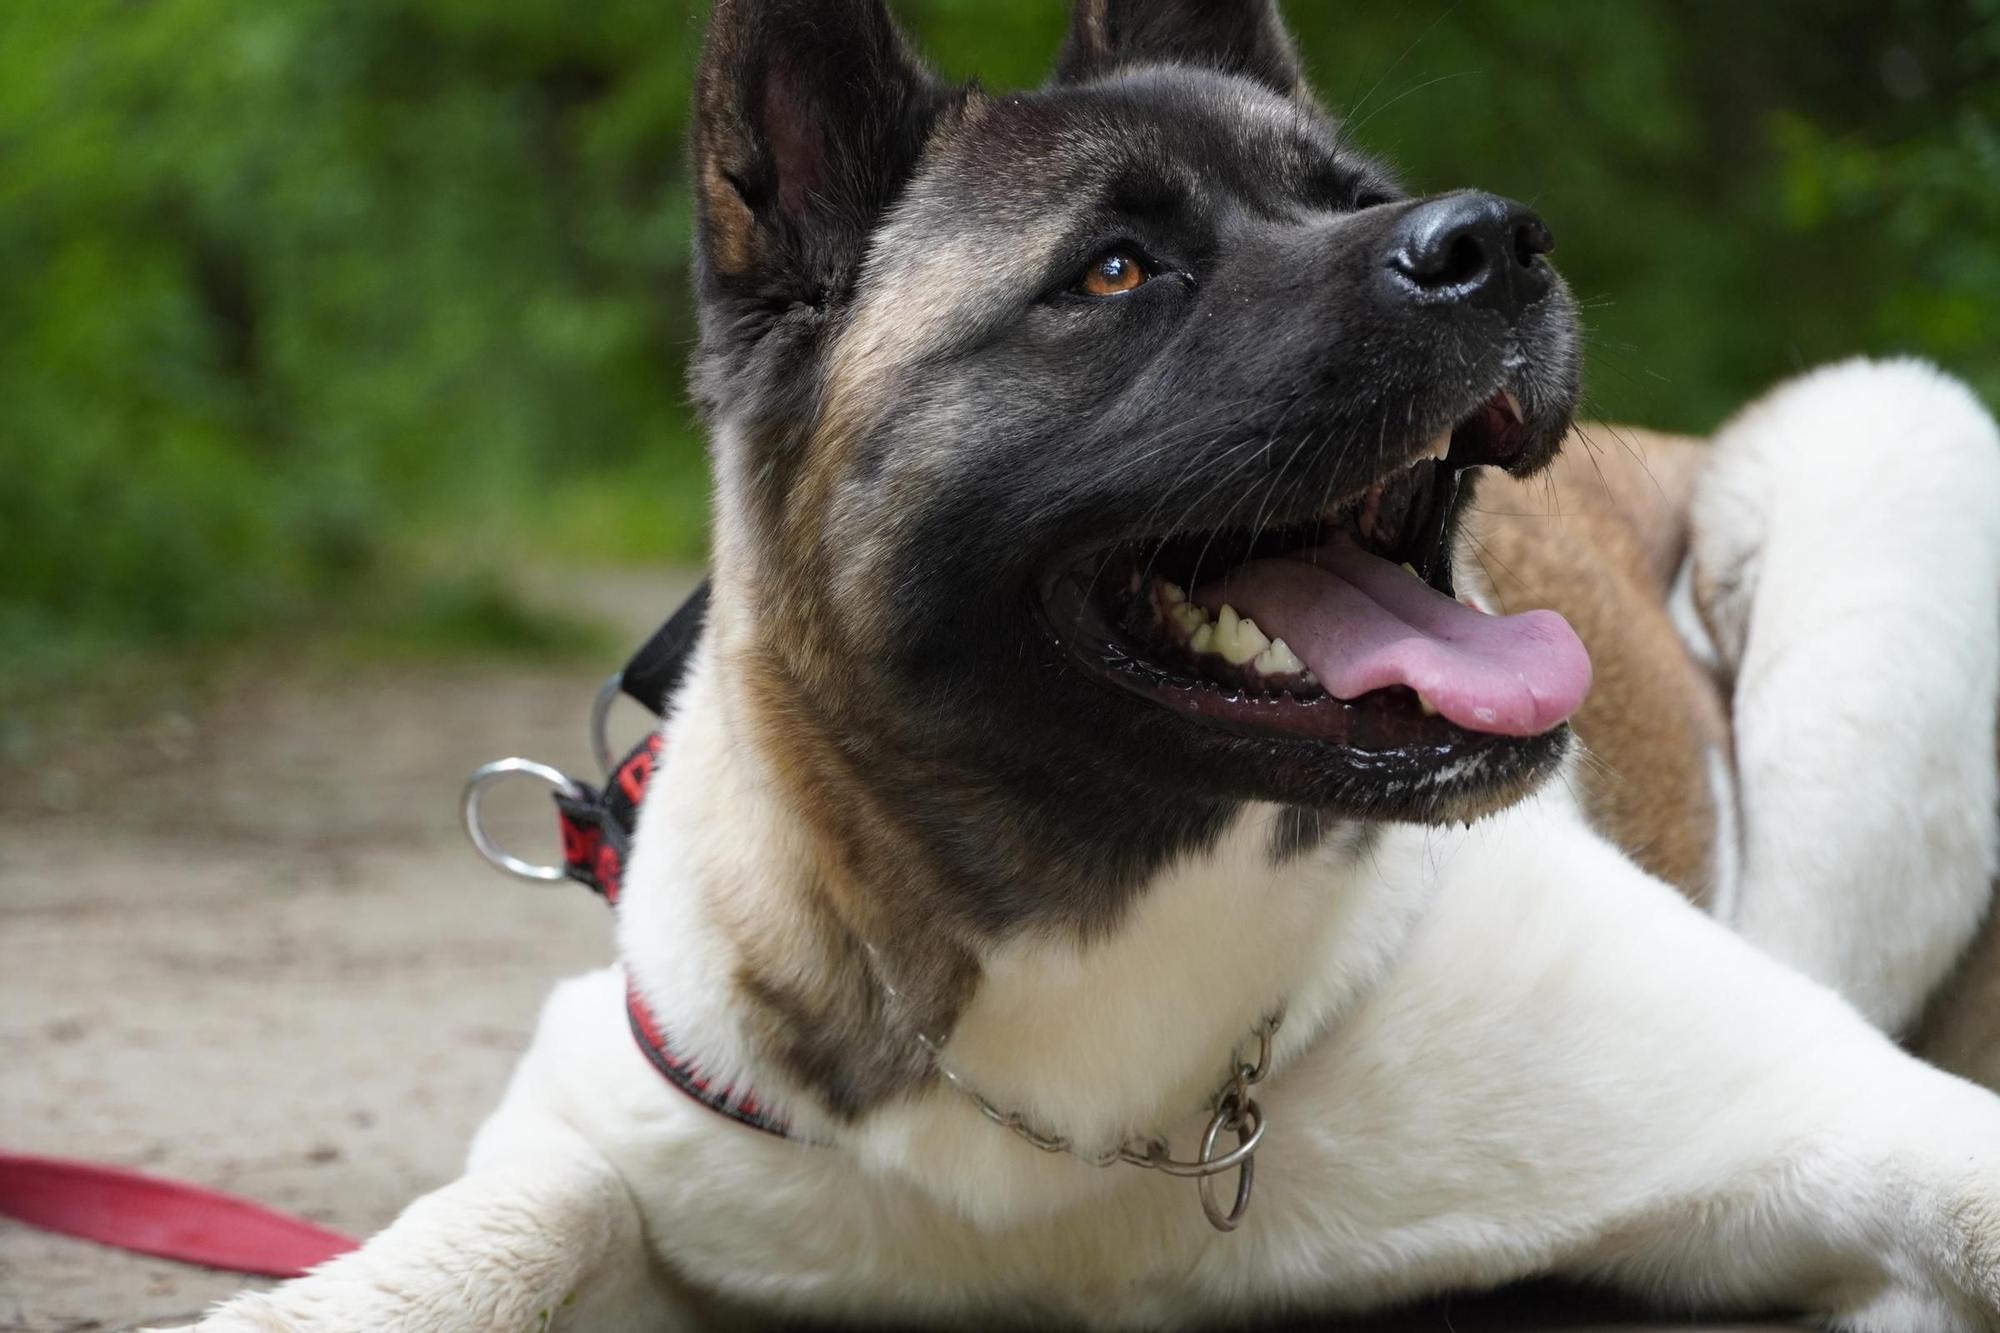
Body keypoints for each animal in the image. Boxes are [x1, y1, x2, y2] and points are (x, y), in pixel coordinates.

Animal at [164, 0, 2000, 1320]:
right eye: (1116, 272)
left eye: (1360, 197)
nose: (1494, 237)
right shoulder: (625, 1102)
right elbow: (517, 1211)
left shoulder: (1846, 1107)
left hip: (1896, 461)